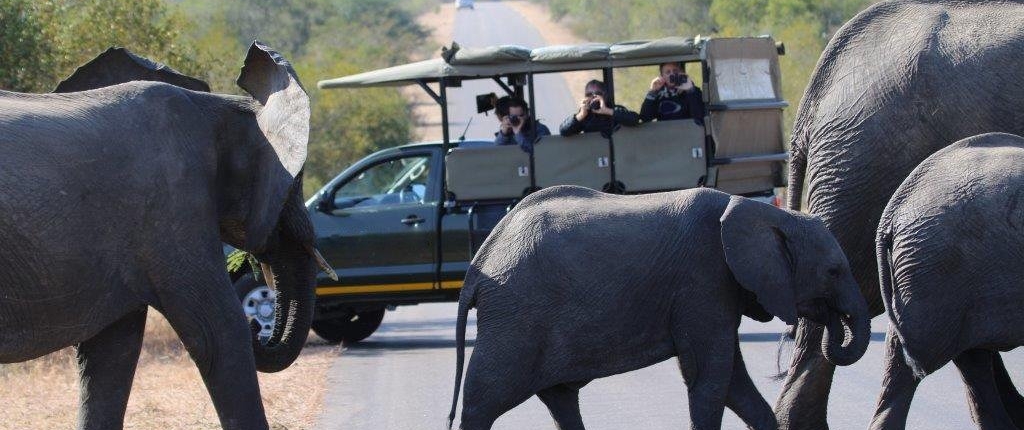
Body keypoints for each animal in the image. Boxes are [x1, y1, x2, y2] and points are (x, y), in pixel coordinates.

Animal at [0, 43, 329, 430]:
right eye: (296, 182)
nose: (257, 325)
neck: (215, 106)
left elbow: (112, 354)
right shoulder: (175, 207)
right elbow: (219, 332)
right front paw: (240, 326)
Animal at [444, 185, 868, 430]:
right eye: (833, 271)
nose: (834, 321)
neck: (768, 213)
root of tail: (480, 262)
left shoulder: (716, 290)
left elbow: (733, 382)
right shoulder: (702, 280)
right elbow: (711, 378)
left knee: (560, 399)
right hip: (517, 316)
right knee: (483, 399)